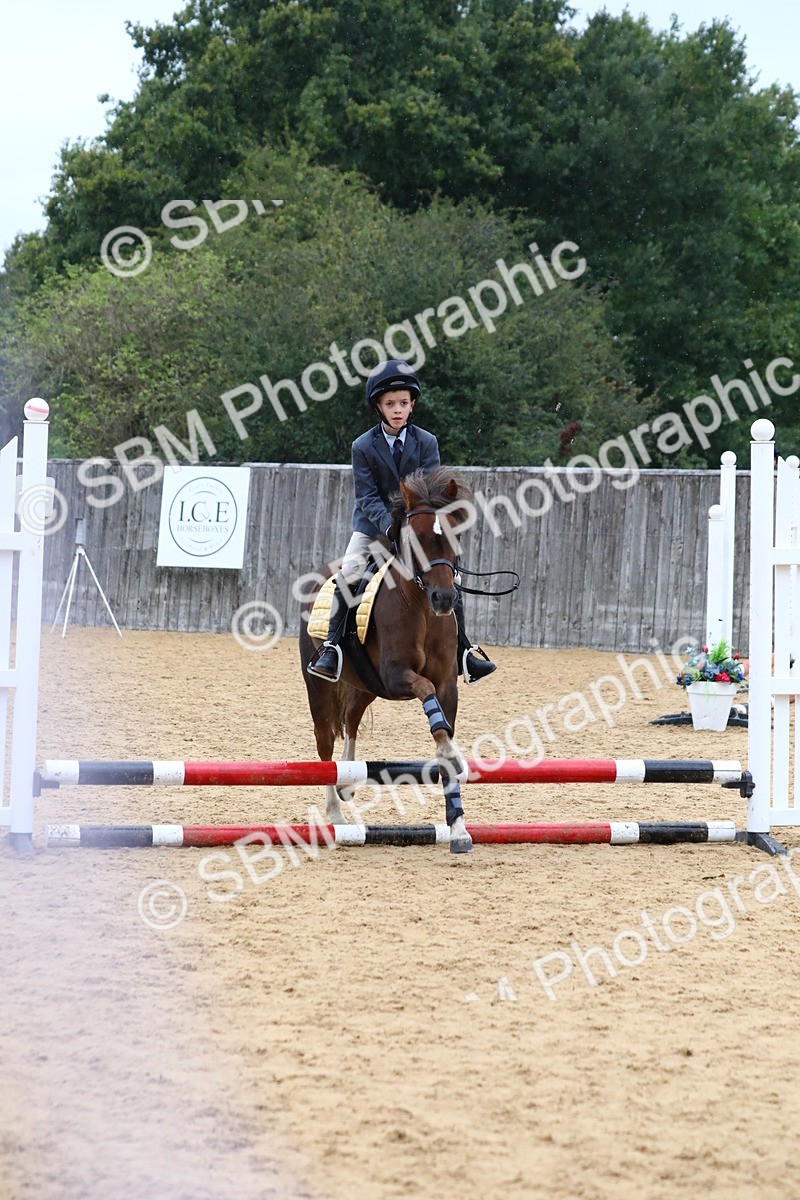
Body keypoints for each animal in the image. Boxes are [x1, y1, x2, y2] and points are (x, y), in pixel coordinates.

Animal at [298, 467, 474, 853]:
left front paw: (458, 830)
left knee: (351, 722)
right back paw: (336, 816)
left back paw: (348, 783)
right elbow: (428, 699)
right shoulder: (397, 677)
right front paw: (455, 757)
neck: (421, 608)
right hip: (319, 687)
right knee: (325, 744)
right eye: (418, 538)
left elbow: (443, 734)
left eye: (454, 536)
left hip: (365, 686)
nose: (443, 599)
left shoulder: (447, 684)